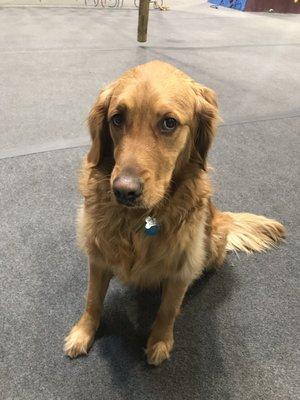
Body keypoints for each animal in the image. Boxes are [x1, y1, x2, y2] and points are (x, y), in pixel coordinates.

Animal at [64, 60, 284, 366]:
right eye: (117, 119)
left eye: (169, 123)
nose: (124, 191)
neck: (140, 220)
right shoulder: (98, 253)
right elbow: (93, 299)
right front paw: (83, 332)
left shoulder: (183, 265)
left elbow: (168, 308)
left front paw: (159, 341)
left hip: (213, 239)